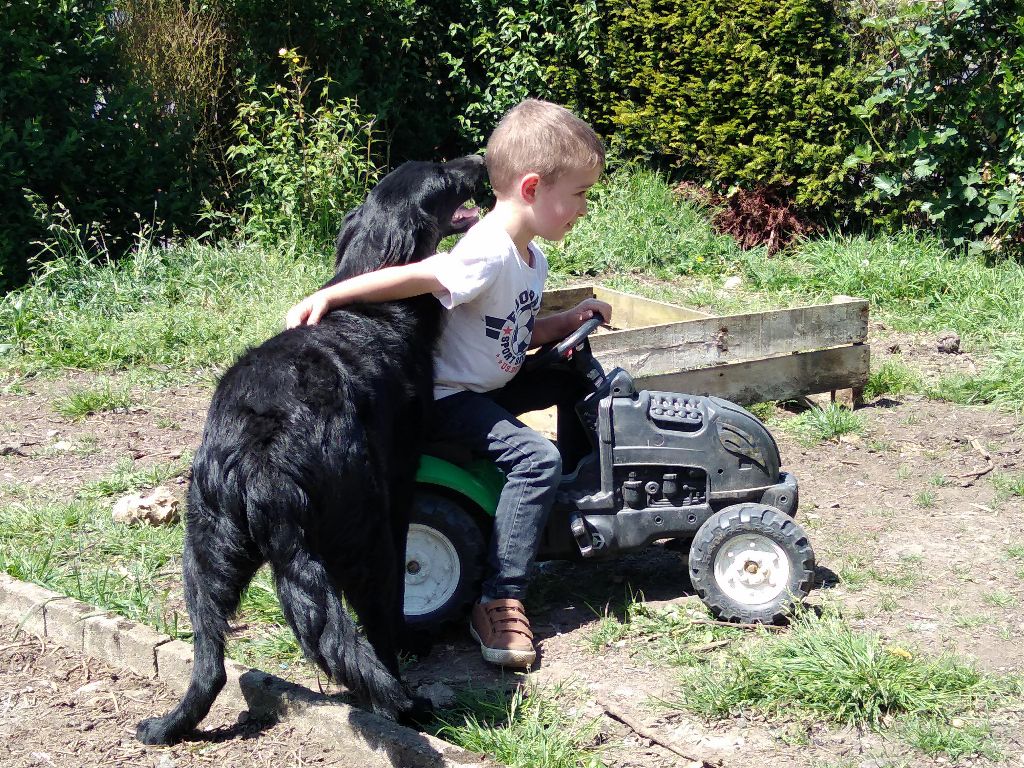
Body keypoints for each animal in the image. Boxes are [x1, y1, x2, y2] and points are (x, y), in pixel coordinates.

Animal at [136, 154, 483, 745]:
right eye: (441, 172)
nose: (480, 159)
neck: (370, 295)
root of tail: (262, 458)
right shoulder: (399, 484)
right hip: (366, 538)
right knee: (373, 640)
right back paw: (404, 704)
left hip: (202, 551)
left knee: (210, 663)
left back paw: (167, 727)